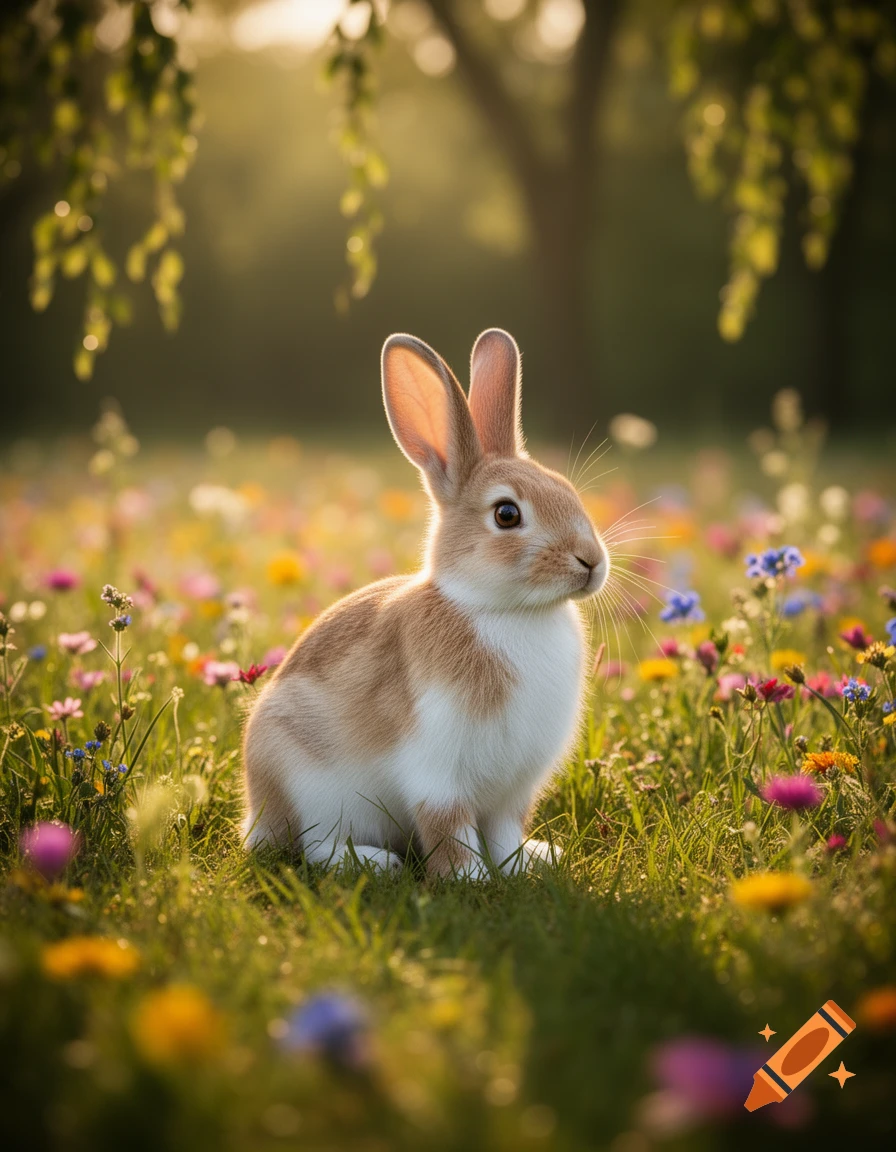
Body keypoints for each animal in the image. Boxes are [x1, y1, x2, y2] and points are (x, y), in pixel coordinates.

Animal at [241, 328, 609, 877]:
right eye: (506, 514)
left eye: (566, 490)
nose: (591, 561)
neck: (502, 611)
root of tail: (256, 815)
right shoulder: (438, 773)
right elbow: (448, 830)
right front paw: (470, 878)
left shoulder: (512, 791)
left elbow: (504, 832)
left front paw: (524, 864)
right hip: (311, 789)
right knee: (315, 847)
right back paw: (376, 863)